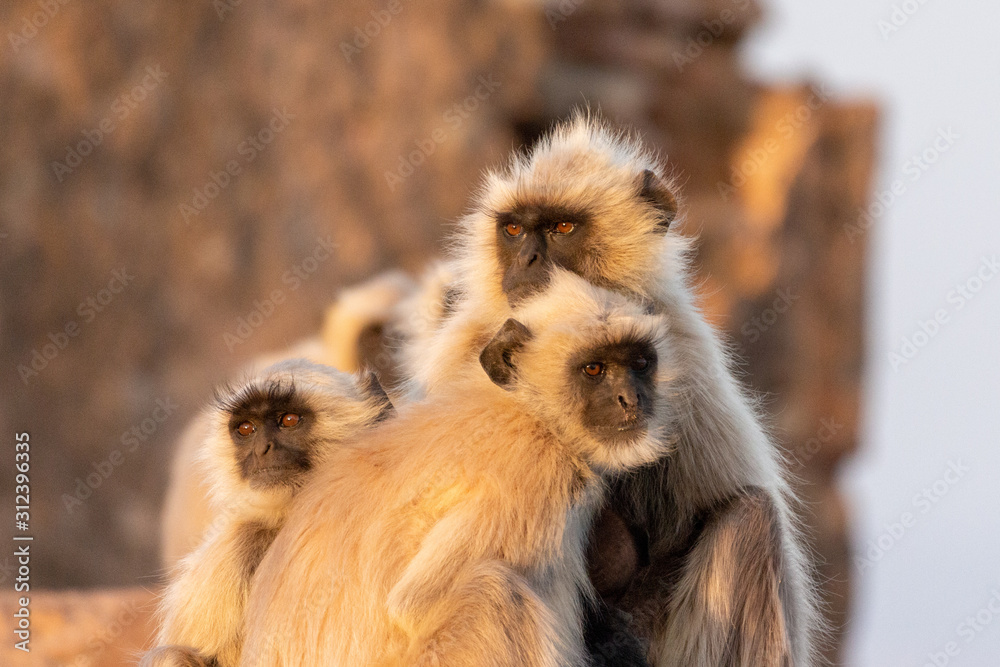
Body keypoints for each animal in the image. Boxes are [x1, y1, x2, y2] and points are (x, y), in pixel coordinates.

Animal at [239, 270, 676, 667]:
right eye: (594, 369)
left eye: (639, 363)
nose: (631, 399)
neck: (527, 410)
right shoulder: (532, 473)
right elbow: (414, 605)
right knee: (493, 590)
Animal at [401, 112, 819, 666]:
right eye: (513, 229)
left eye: (561, 228)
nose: (527, 260)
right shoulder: (458, 354)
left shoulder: (688, 357)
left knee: (751, 518)